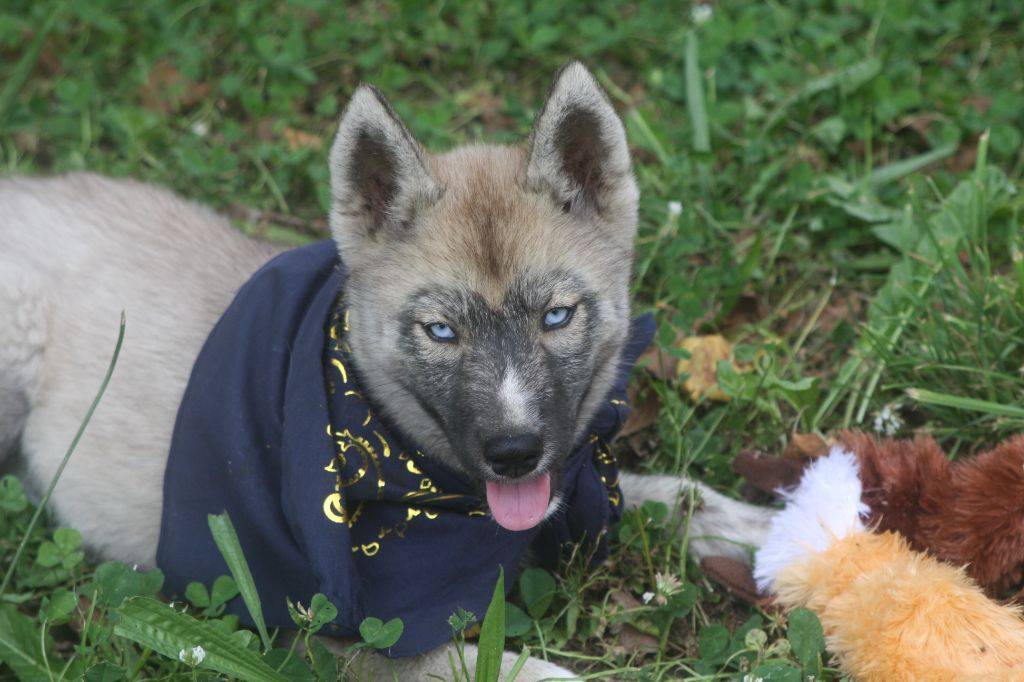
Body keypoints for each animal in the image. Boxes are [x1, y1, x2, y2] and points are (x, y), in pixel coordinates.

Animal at [0, 62, 771, 679]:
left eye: (556, 316)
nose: (514, 454)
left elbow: (675, 494)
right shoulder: (327, 635)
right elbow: (517, 670)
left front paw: (773, 528)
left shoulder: (572, 482)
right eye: (441, 331)